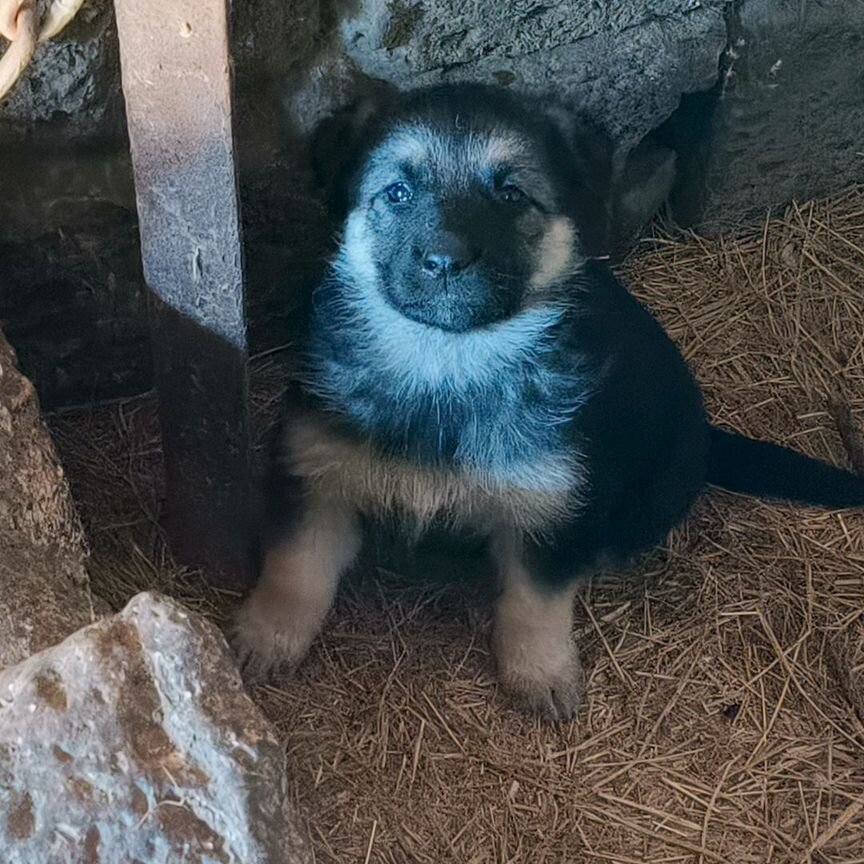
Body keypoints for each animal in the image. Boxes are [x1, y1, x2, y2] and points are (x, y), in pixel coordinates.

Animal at [230, 84, 864, 724]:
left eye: (511, 194)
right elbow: (296, 569)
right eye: (398, 192)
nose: (444, 260)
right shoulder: (315, 478)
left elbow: (536, 601)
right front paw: (266, 637)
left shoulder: (554, 509)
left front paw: (540, 673)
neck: (448, 361)